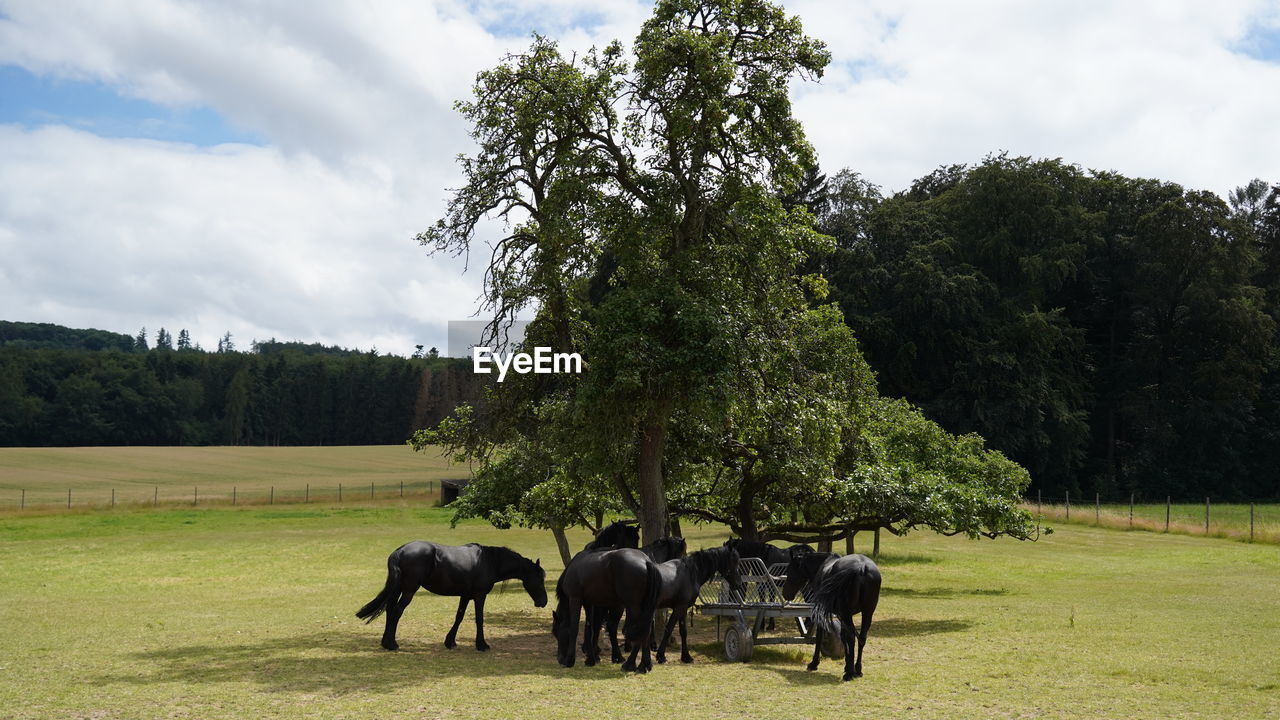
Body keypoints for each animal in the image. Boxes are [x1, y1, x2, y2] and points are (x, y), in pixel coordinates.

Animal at [355, 538, 545, 650]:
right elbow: (479, 618)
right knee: (396, 611)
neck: (488, 561)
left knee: (389, 610)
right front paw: (481, 644)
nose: (543, 602)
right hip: (409, 590)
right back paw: (392, 644)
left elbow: (459, 616)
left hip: (398, 588)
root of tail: (400, 551)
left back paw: (385, 642)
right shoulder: (480, 595)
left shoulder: (465, 595)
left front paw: (450, 642)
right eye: (539, 578)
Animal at [778, 548, 880, 676]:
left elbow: (820, 635)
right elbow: (843, 636)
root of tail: (862, 567)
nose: (785, 593)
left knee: (852, 637)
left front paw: (814, 663)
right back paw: (857, 669)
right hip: (867, 613)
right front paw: (847, 665)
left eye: (790, 570)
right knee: (862, 638)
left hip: (848, 614)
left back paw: (850, 673)